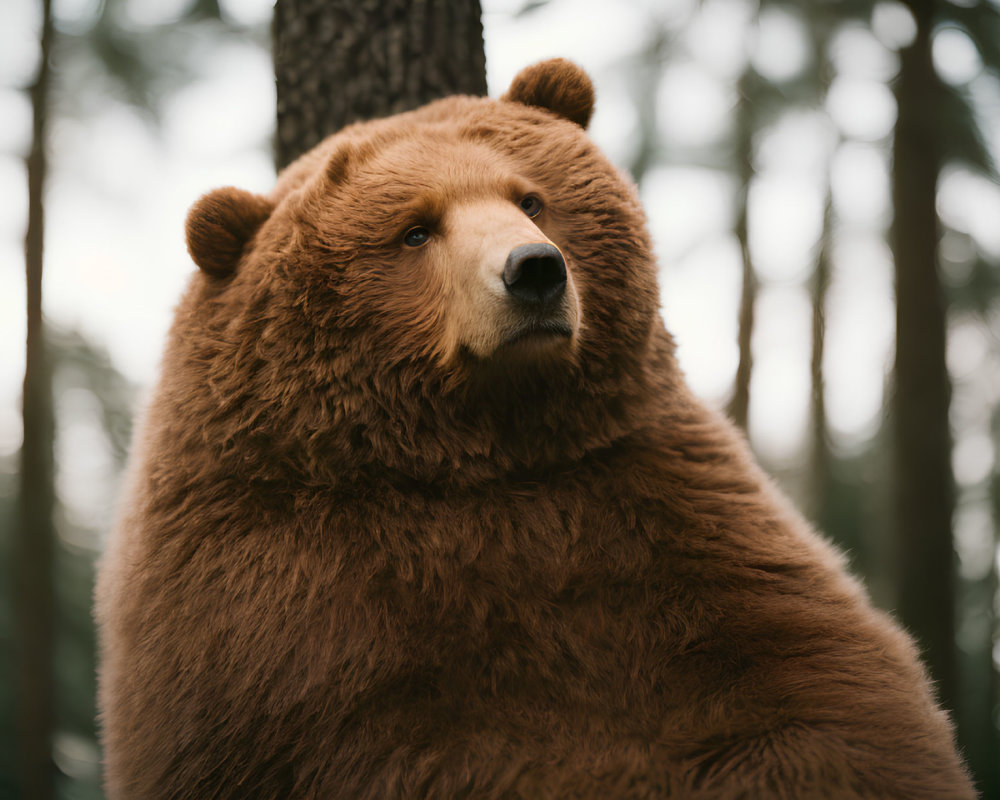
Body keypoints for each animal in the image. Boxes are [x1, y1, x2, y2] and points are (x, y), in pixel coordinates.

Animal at [97, 59, 972, 796]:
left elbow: (825, 696)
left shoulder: (664, 514)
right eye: (416, 228)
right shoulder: (282, 607)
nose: (535, 271)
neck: (484, 446)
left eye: (529, 197)